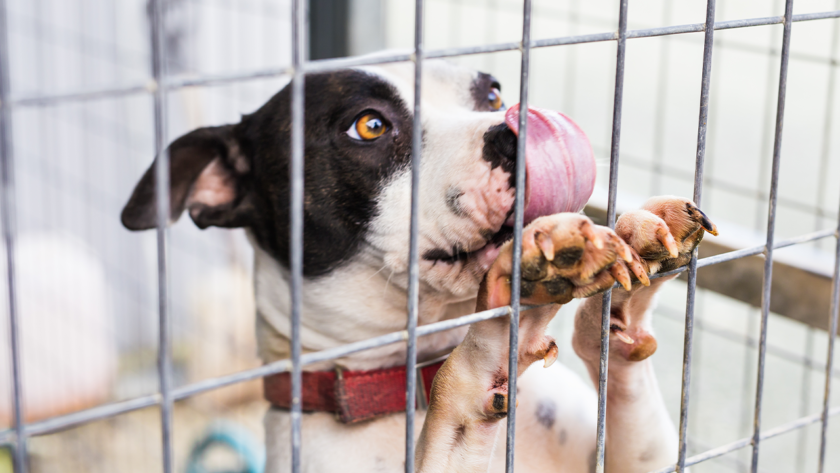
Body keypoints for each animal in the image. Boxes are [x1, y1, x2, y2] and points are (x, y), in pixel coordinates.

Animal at [121, 60, 720, 472]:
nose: (519, 128)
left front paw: (632, 271)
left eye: (492, 93)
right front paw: (503, 325)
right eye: (368, 125)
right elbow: (462, 389)